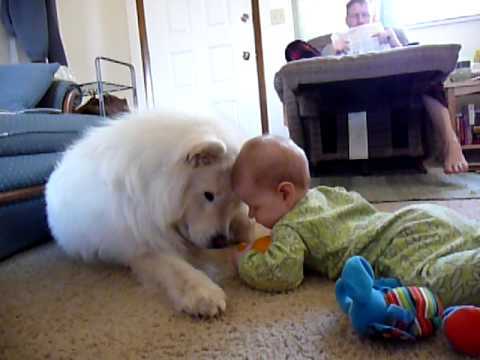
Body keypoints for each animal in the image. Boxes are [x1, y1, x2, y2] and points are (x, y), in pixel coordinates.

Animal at [46, 111, 253, 316]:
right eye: (208, 195)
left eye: (235, 202)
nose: (221, 242)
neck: (150, 189)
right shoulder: (143, 246)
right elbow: (176, 268)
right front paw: (203, 293)